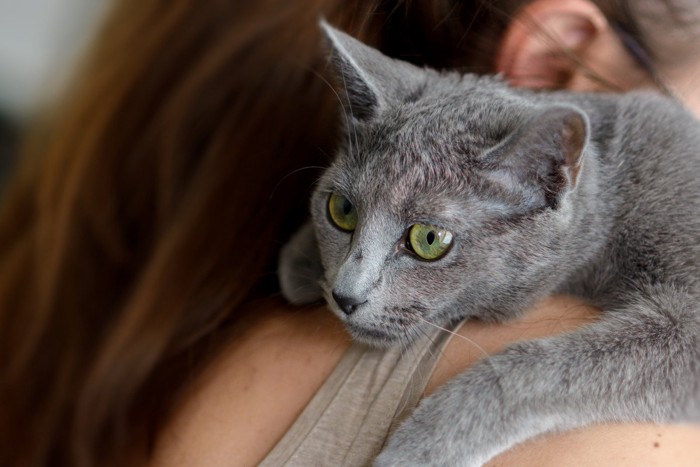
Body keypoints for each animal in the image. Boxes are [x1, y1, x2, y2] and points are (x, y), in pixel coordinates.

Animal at [278, 23, 700, 466]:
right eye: (341, 210)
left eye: (429, 240)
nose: (344, 295)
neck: (622, 191)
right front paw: (301, 262)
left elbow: (534, 369)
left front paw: (423, 443)